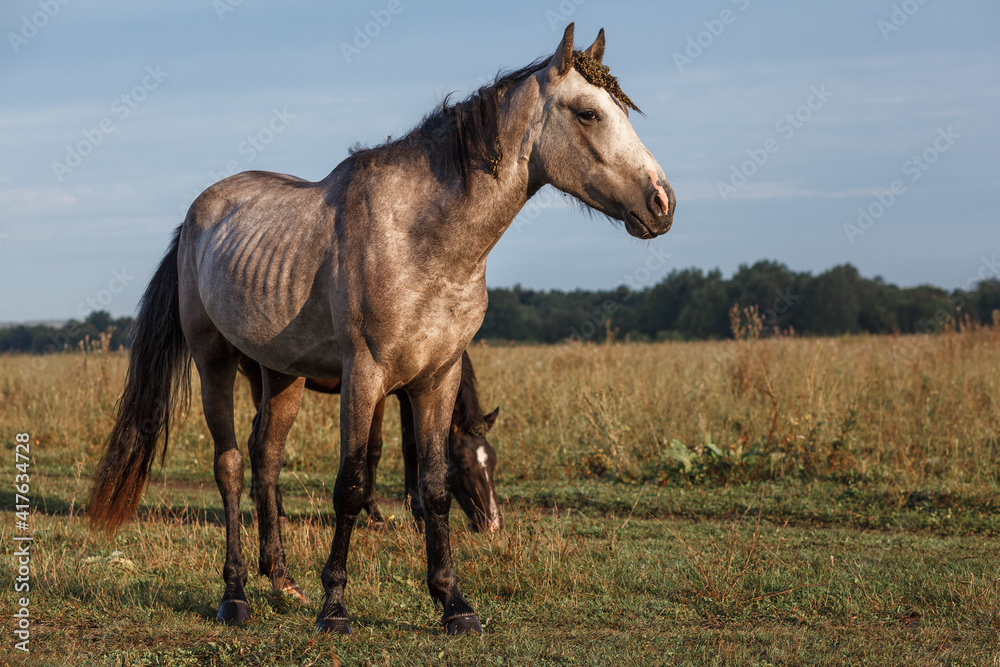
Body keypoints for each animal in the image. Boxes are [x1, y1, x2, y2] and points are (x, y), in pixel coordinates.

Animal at [239, 350, 504, 532]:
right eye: (465, 467)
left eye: (493, 463)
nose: (493, 525)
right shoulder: (378, 394)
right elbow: (373, 449)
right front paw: (375, 513)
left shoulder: (410, 394)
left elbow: (410, 448)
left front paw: (417, 512)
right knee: (261, 442)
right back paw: (278, 510)